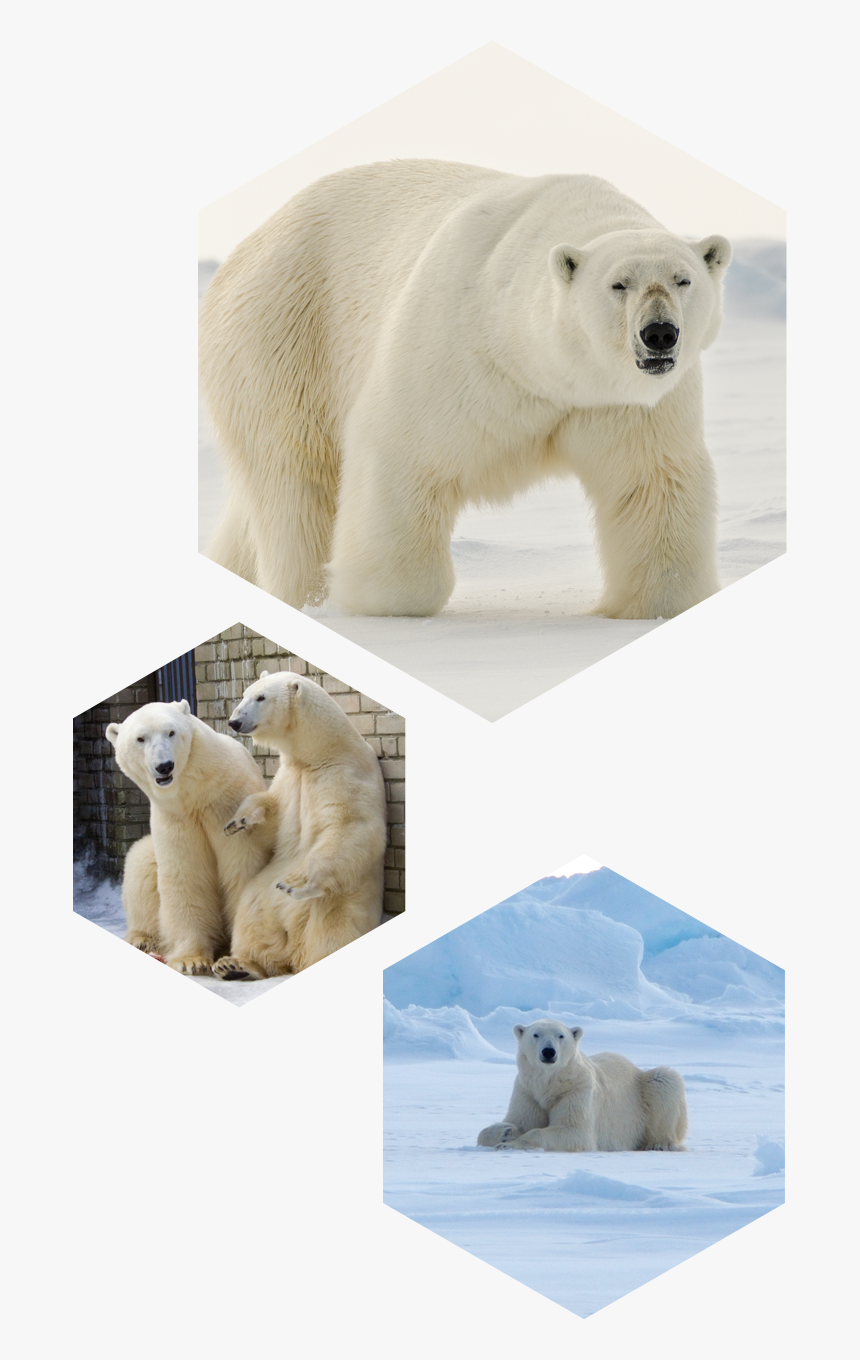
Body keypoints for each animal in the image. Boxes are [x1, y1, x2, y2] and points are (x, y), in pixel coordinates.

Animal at [106, 700, 276, 975]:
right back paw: (142, 939)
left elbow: (243, 867)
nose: (164, 766)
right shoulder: (175, 818)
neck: (196, 794)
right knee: (140, 863)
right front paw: (191, 960)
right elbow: (184, 873)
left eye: (171, 732)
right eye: (140, 738)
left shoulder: (228, 804)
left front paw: (240, 959)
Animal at [199, 159, 731, 620]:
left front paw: (652, 604)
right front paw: (377, 598)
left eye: (683, 279)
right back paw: (310, 596)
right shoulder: (459, 350)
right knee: (297, 481)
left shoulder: (623, 403)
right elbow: (403, 455)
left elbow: (651, 480)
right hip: (285, 337)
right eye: (618, 284)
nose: (659, 333)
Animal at [210, 670, 388, 979]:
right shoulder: (291, 777)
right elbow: (274, 816)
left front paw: (296, 881)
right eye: (246, 694)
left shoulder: (345, 775)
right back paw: (237, 965)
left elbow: (351, 828)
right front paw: (238, 820)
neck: (320, 754)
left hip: (342, 899)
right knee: (251, 919)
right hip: (261, 894)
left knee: (331, 931)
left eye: (261, 697)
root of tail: (293, 951)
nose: (234, 721)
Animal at [477, 1020, 688, 1152]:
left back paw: (659, 1144)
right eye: (535, 1034)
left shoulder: (576, 1090)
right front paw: (506, 1131)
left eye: (561, 1036)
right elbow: (514, 1121)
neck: (550, 1084)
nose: (548, 1051)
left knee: (664, 1080)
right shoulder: (528, 1091)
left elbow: (575, 1131)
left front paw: (509, 1144)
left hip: (645, 1091)